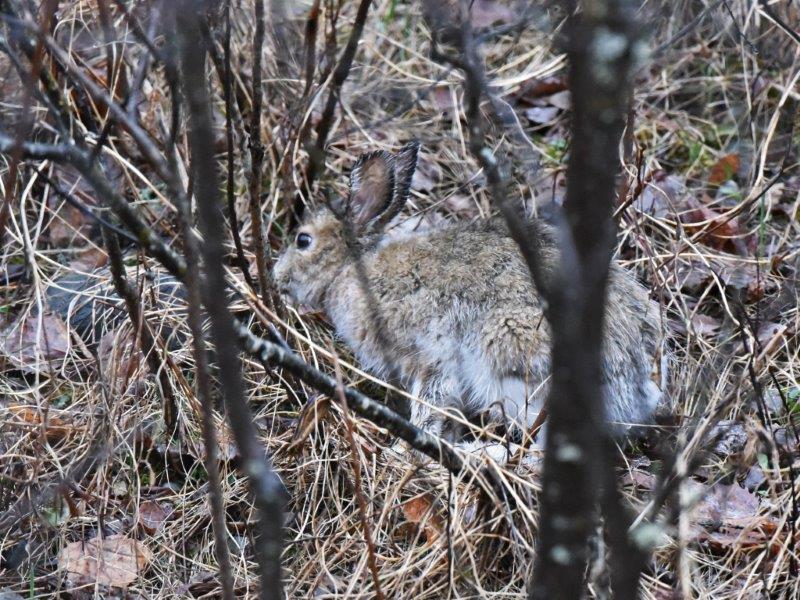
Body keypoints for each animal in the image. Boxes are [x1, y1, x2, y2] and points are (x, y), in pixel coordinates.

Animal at [274, 141, 667, 463]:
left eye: (303, 240)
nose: (277, 278)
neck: (353, 266)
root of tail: (635, 388)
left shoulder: (431, 358)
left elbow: (430, 407)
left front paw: (407, 449)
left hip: (510, 354)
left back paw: (479, 453)